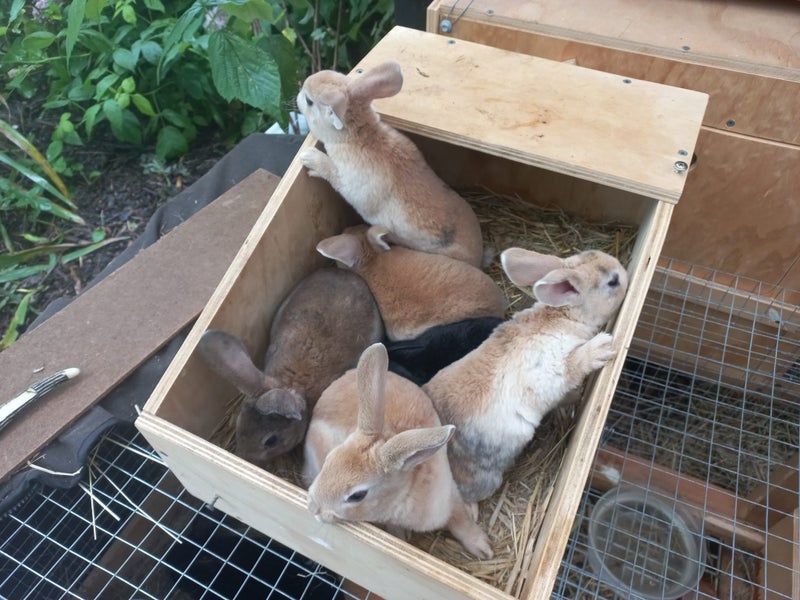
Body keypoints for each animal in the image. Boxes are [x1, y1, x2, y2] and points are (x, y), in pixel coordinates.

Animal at [296, 61, 484, 267]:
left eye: (309, 101)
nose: (299, 92)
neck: (358, 135)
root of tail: (479, 256)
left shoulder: (348, 182)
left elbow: (330, 172)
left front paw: (309, 158)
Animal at [303, 343, 494, 560]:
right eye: (329, 459)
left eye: (357, 496)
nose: (313, 507)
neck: (402, 494)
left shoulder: (449, 496)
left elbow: (461, 521)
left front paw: (483, 548)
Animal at [423, 248, 629, 504]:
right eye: (612, 281)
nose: (626, 273)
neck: (565, 316)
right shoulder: (556, 370)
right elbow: (576, 364)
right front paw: (601, 347)